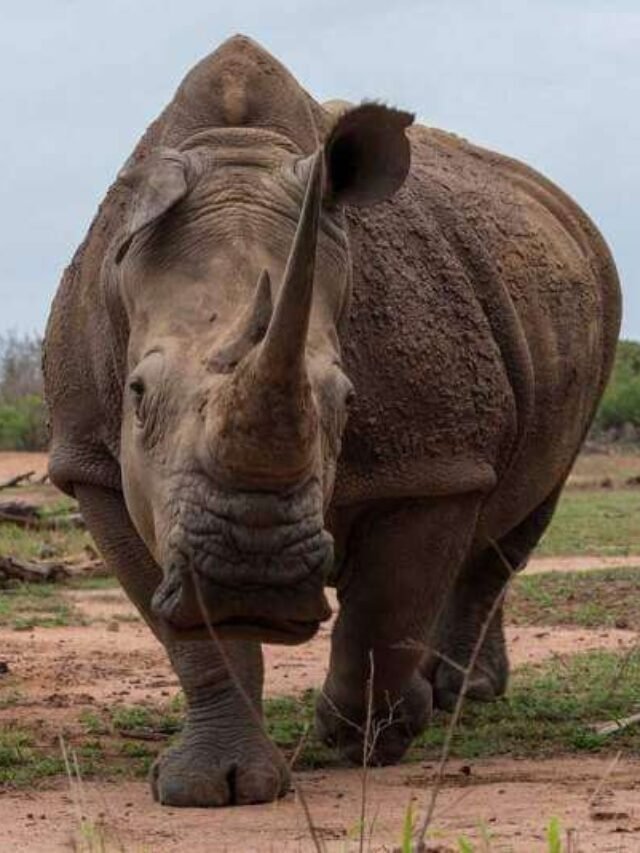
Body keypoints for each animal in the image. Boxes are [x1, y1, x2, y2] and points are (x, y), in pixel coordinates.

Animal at [44, 35, 621, 807]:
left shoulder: (434, 460)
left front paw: (371, 737)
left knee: (519, 514)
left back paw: (459, 696)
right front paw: (212, 785)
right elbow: (191, 638)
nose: (251, 574)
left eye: (347, 399)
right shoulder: (93, 461)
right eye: (136, 394)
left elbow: (385, 608)